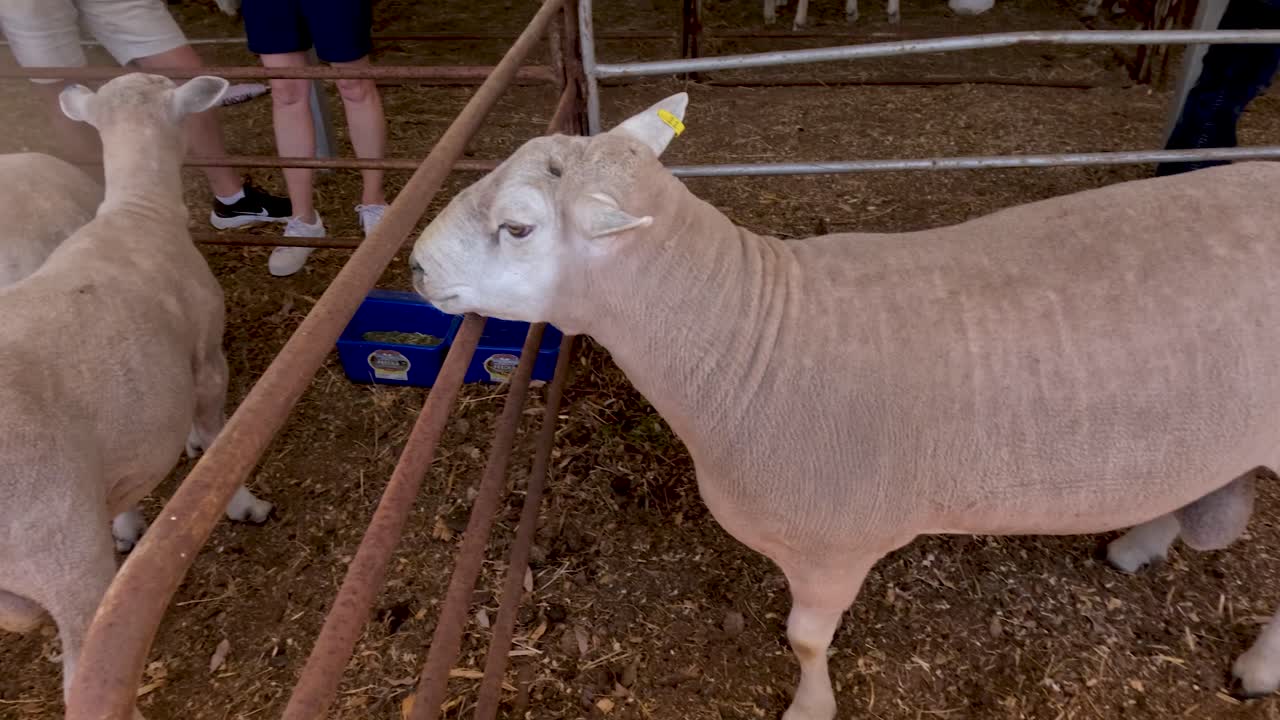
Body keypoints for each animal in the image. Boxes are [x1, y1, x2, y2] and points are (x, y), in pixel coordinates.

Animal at [0, 72, 272, 718]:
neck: (136, 211)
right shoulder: (207, 359)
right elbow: (219, 434)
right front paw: (241, 502)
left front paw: (128, 524)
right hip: (62, 551)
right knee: (87, 678)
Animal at [409, 91, 1280, 719]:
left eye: (518, 228)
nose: (414, 264)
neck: (746, 332)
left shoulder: (836, 543)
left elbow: (803, 642)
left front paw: (810, 707)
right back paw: (1142, 540)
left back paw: (1257, 666)